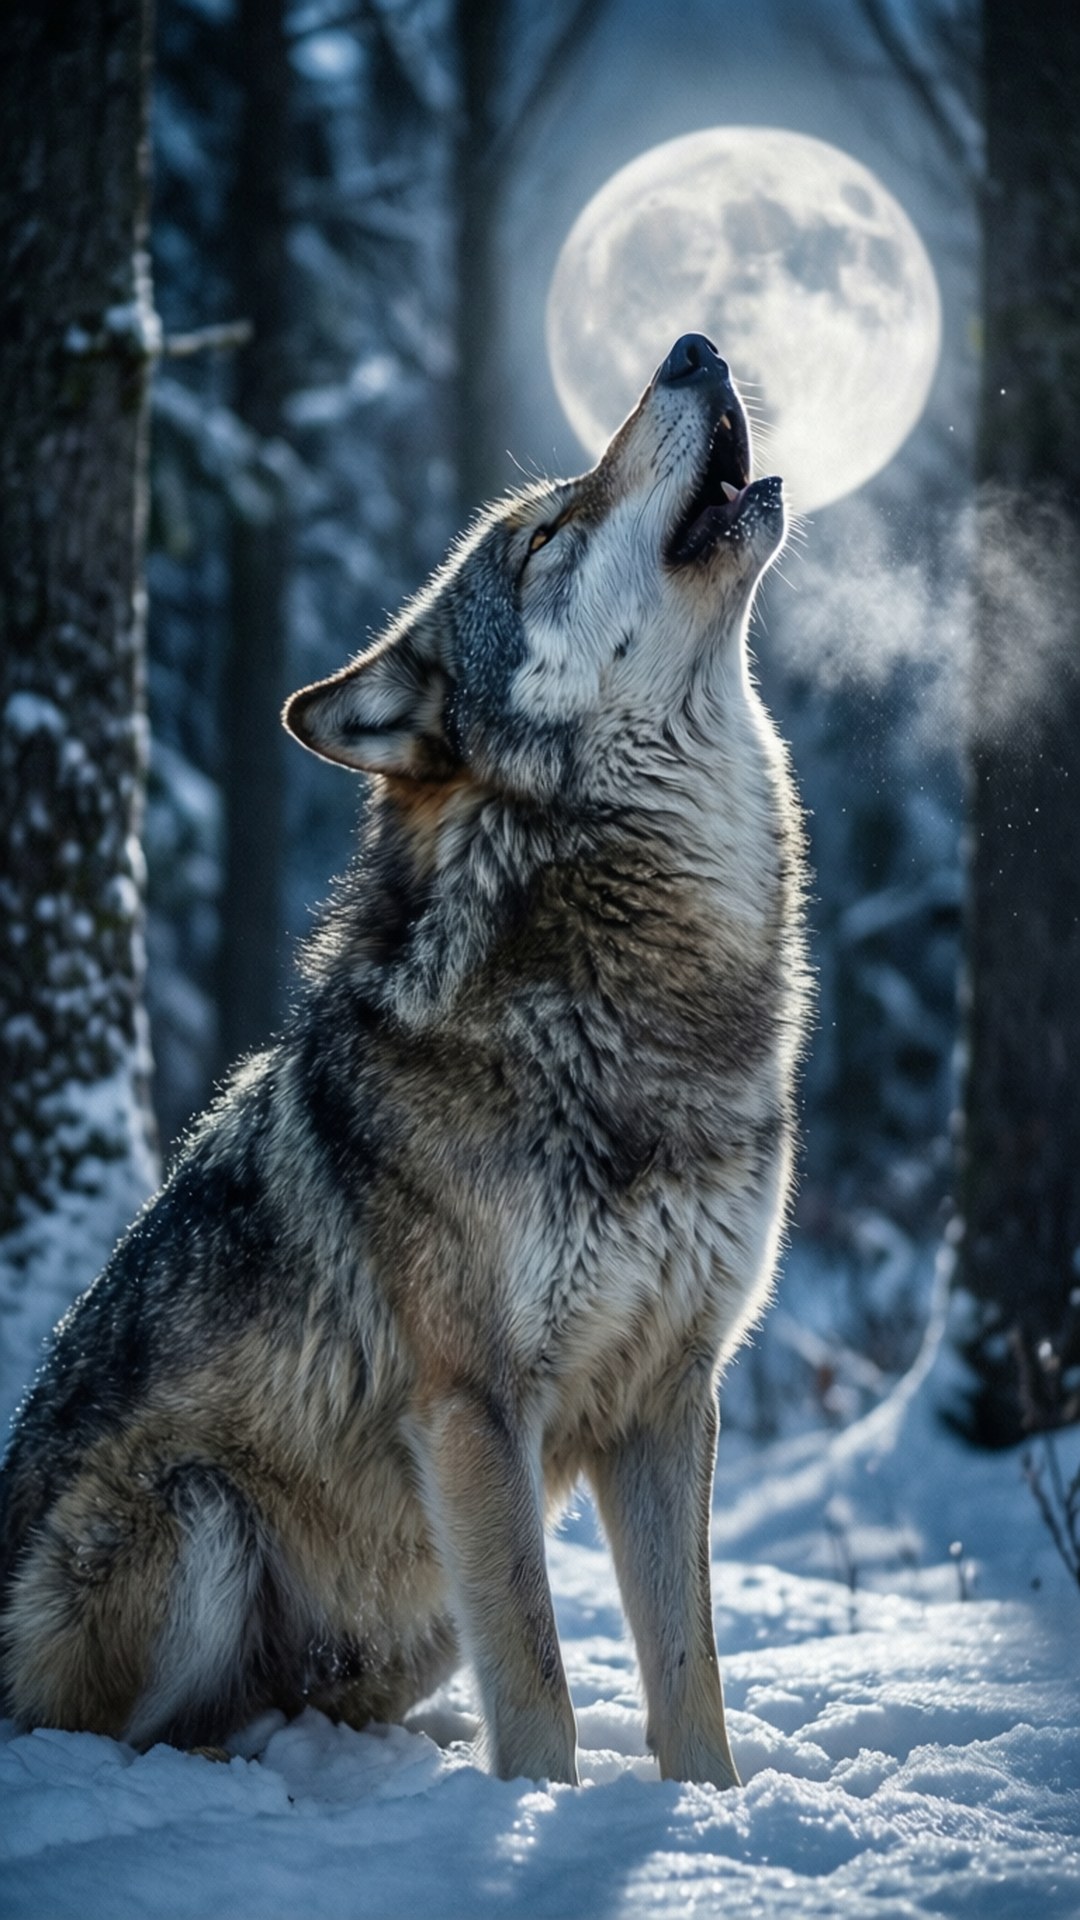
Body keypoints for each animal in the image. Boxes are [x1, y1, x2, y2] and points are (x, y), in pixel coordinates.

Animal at [0, 333, 808, 1788]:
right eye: (545, 535)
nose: (694, 348)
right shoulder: (474, 1408)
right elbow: (539, 1682)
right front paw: (542, 1811)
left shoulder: (673, 1396)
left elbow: (692, 1681)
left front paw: (709, 1817)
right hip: (200, 1516)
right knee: (105, 1733)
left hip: (408, 1613)